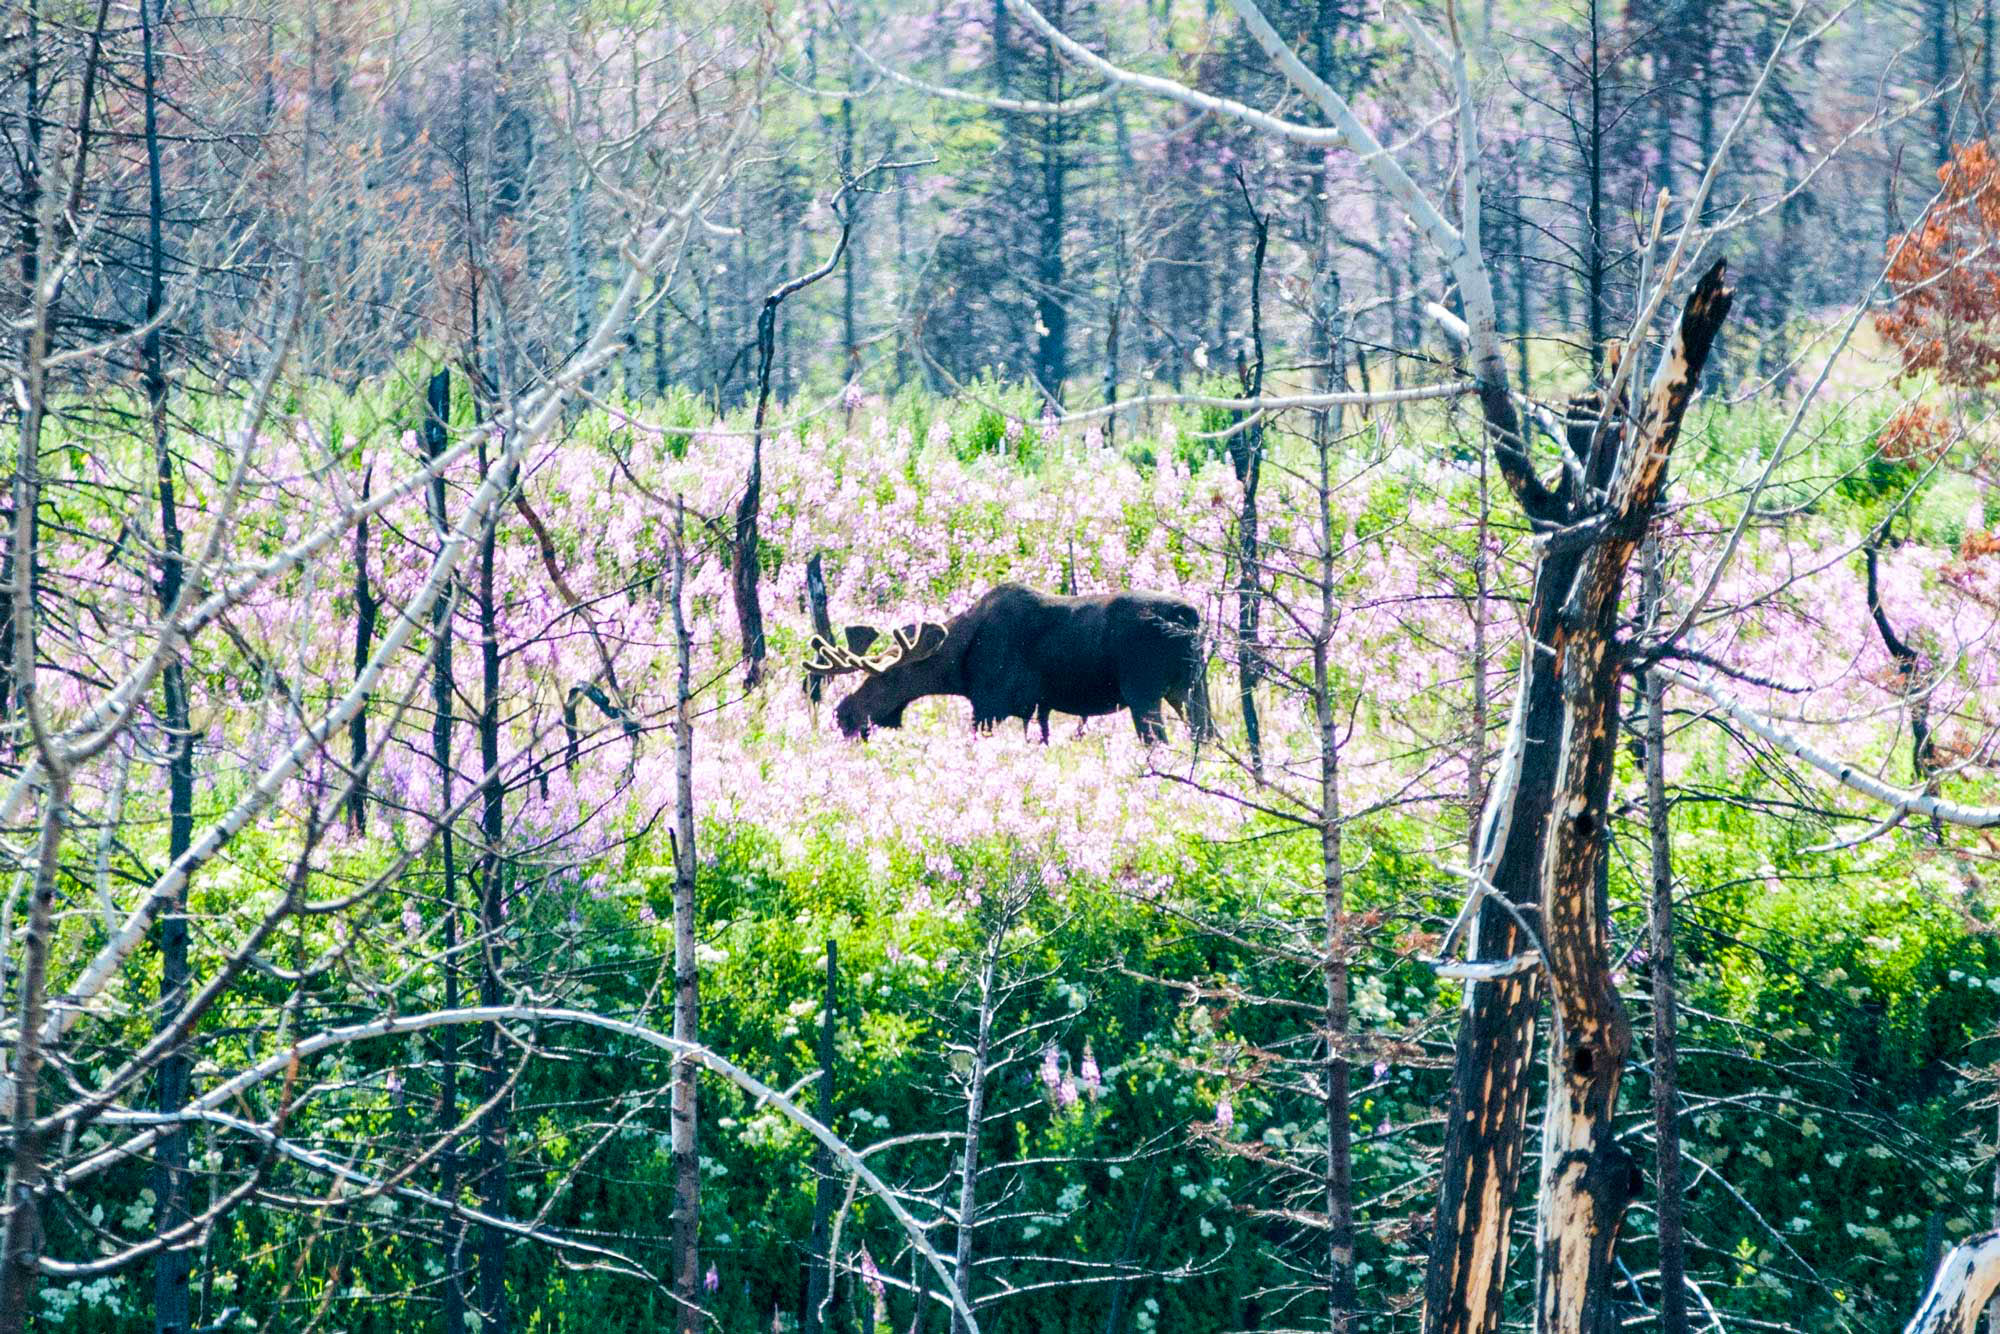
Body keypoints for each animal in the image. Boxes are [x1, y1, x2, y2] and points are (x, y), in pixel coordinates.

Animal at [804, 584, 1208, 748]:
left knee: (1159, 741)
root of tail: (1191, 615)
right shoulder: (1035, 710)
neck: (958, 667)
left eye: (885, 678)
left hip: (1143, 691)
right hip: (1190, 688)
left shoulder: (990, 706)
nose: (843, 713)